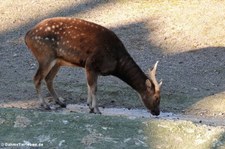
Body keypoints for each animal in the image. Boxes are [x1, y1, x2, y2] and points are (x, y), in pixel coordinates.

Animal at [24, 17, 162, 115]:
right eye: (156, 98)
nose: (157, 112)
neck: (116, 61)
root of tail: (27, 36)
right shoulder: (91, 63)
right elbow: (94, 87)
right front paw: (96, 109)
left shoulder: (93, 68)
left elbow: (89, 86)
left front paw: (89, 106)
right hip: (45, 56)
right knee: (37, 78)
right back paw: (46, 105)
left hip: (57, 61)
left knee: (48, 79)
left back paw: (61, 103)